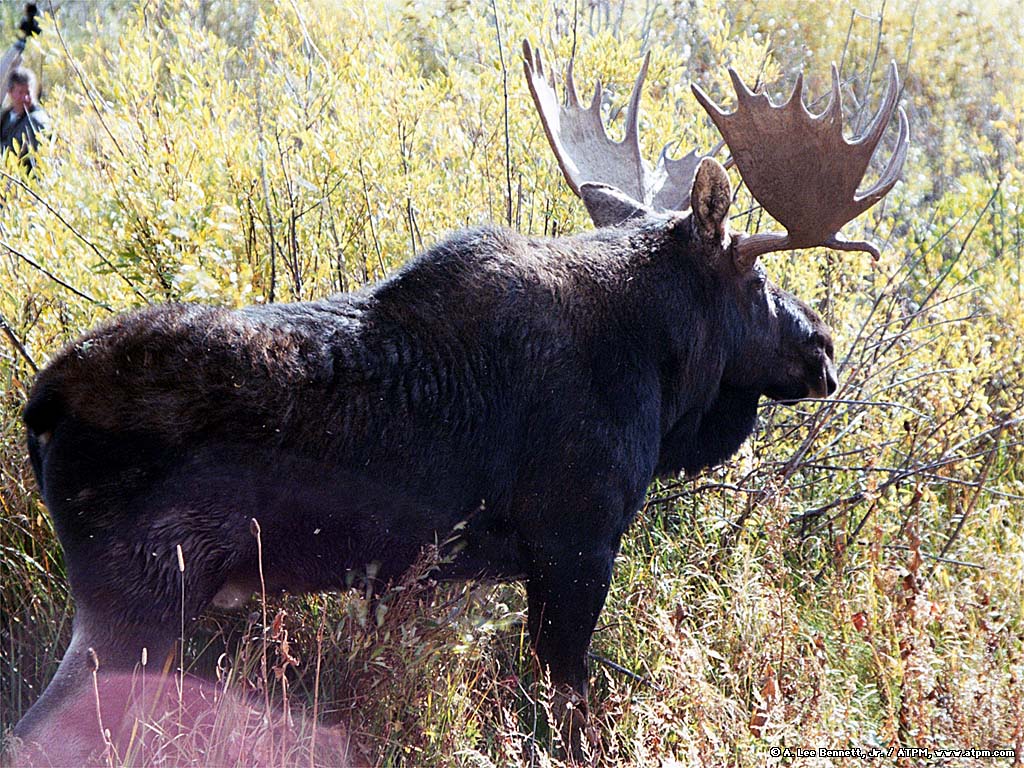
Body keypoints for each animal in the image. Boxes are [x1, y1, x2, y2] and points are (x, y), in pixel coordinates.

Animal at [6, 40, 905, 765]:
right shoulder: (576, 542)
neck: (659, 373)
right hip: (138, 596)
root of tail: (41, 403)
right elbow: (569, 713)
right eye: (755, 279)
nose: (823, 347)